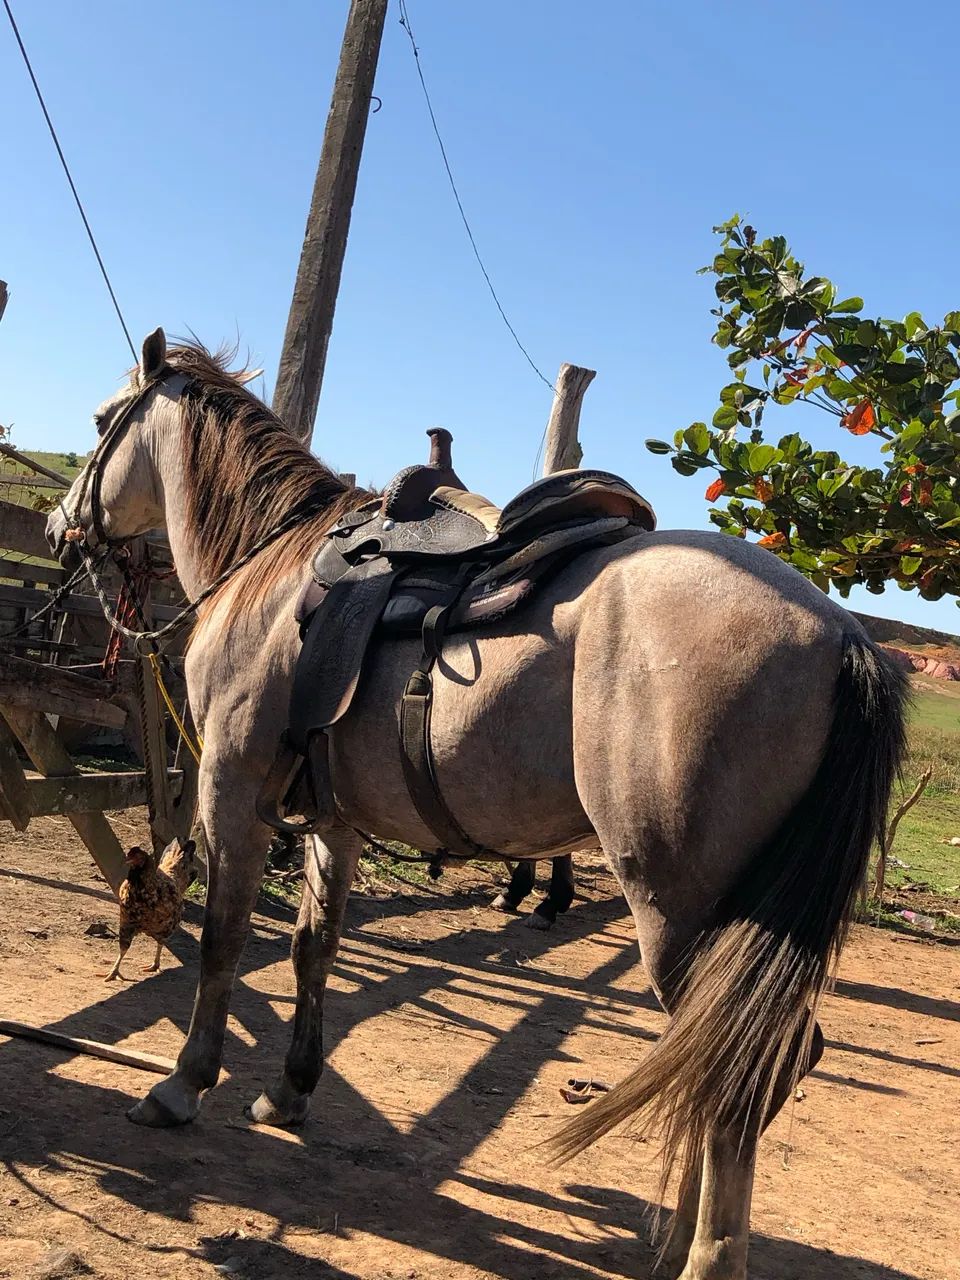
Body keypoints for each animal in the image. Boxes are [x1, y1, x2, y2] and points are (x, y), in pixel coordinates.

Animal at [47, 330, 906, 1280]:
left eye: (101, 420)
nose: (58, 523)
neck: (267, 568)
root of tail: (841, 634)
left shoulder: (232, 793)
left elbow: (223, 942)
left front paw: (183, 1084)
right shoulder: (334, 823)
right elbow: (314, 949)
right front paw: (288, 1093)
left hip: (681, 912)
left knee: (740, 1064)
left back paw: (705, 1253)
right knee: (727, 1058)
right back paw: (680, 1234)